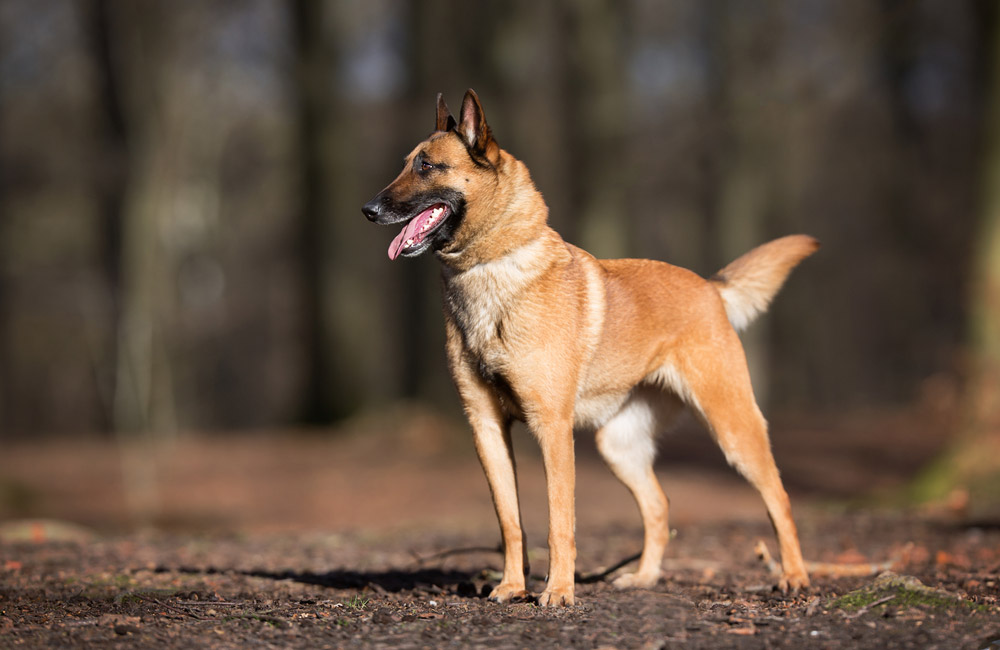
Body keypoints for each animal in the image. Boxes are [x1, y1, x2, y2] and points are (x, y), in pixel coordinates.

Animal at [364, 88, 816, 604]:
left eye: (426, 166)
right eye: (405, 164)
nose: (368, 209)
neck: (490, 269)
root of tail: (709, 288)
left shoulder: (552, 430)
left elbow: (560, 521)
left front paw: (558, 592)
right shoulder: (487, 429)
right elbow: (510, 521)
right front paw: (512, 586)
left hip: (732, 429)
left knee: (778, 499)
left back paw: (794, 576)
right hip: (618, 446)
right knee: (659, 506)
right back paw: (643, 577)